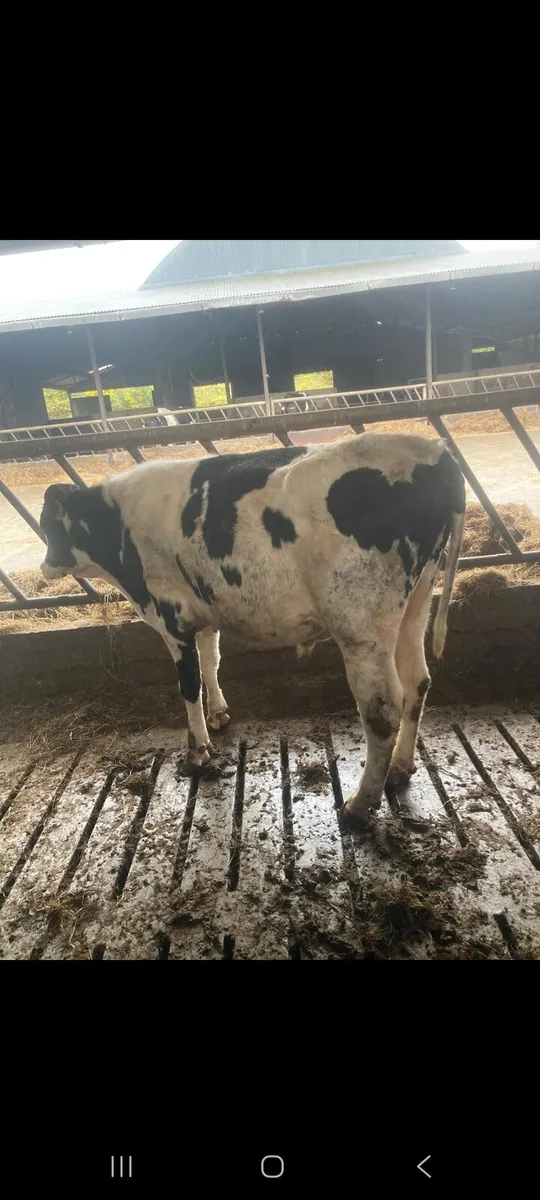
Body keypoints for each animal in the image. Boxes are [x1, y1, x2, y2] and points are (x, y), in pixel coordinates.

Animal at [39, 434, 465, 826]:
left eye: (47, 525)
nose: (44, 567)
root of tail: (434, 451)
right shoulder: (204, 612)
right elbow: (210, 662)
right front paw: (219, 714)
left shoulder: (171, 616)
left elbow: (188, 685)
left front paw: (197, 752)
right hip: (417, 602)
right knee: (418, 681)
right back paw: (400, 768)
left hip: (361, 623)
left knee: (383, 709)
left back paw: (359, 806)